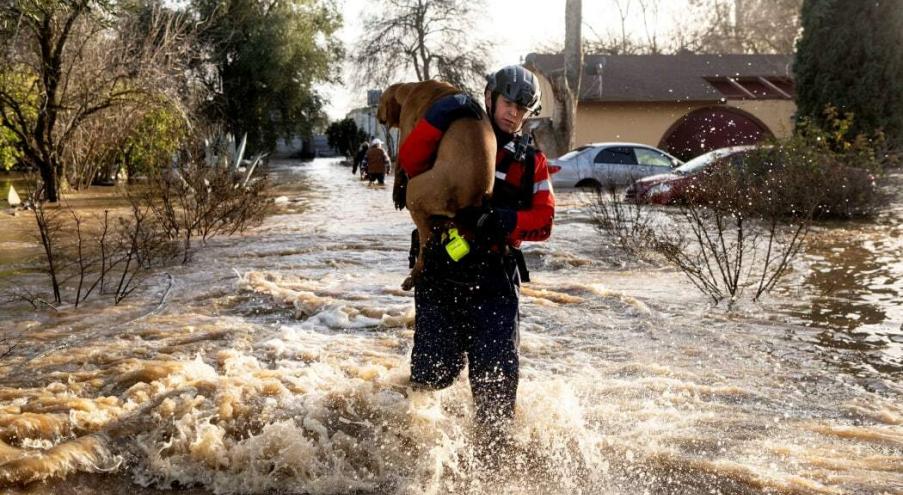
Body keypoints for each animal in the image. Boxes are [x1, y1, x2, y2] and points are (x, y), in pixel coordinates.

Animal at [378, 81, 498, 290]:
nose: (377, 116)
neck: (411, 88)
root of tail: (473, 197)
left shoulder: (406, 132)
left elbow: (401, 161)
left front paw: (396, 192)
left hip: (416, 192)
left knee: (426, 241)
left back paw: (413, 276)